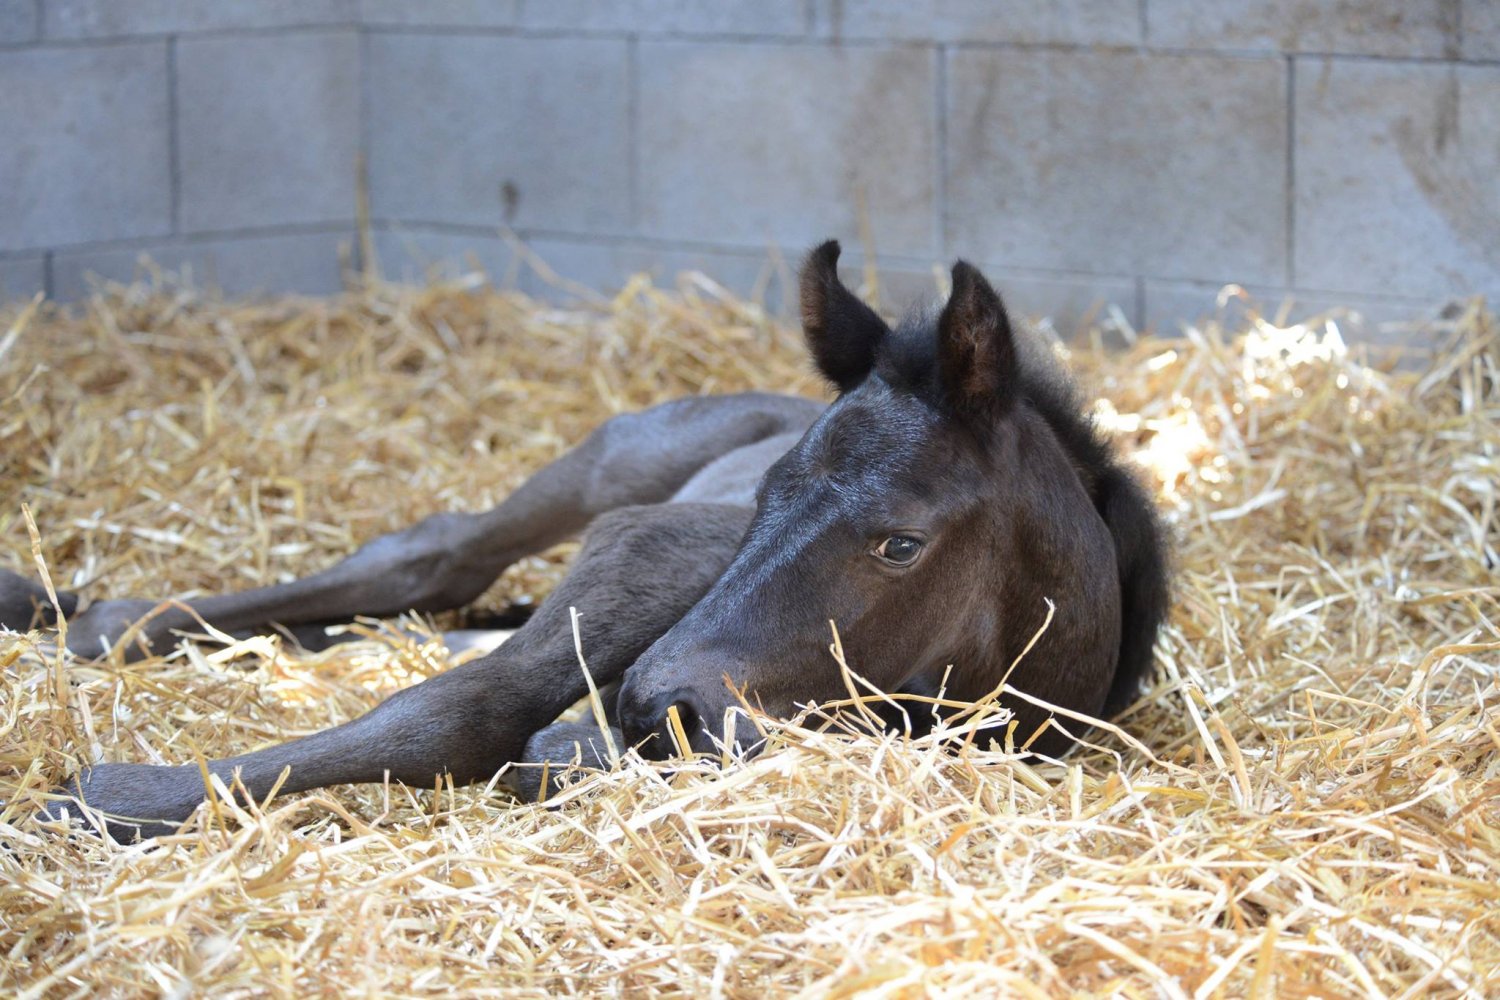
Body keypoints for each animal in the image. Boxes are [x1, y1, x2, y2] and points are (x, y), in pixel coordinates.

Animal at [3, 242, 1169, 842]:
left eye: (900, 545)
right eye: (765, 498)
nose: (659, 701)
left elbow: (524, 734)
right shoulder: (645, 546)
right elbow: (464, 713)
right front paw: (117, 797)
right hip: (618, 463)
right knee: (440, 554)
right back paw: (88, 618)